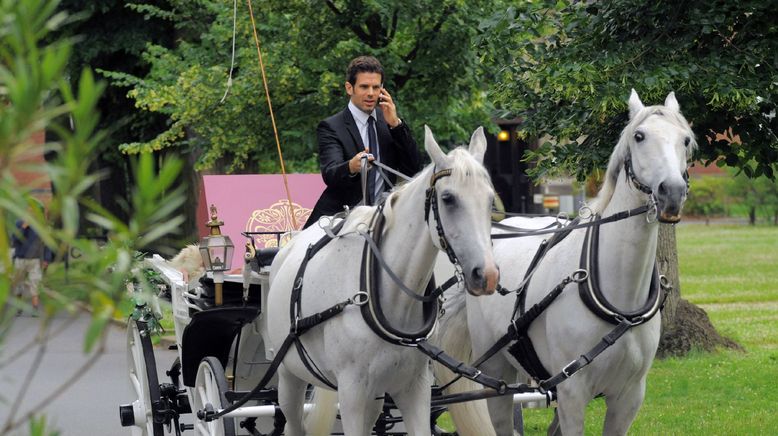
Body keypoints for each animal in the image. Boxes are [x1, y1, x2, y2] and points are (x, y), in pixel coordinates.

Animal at [266, 126, 498, 436]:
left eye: (489, 199)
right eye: (448, 198)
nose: (487, 274)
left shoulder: (414, 388)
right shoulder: (351, 393)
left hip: (374, 393)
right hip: (289, 377)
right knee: (292, 422)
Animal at [434, 90, 696, 434]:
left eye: (685, 139)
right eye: (639, 136)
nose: (672, 192)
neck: (617, 296)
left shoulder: (628, 396)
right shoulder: (573, 392)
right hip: (496, 371)